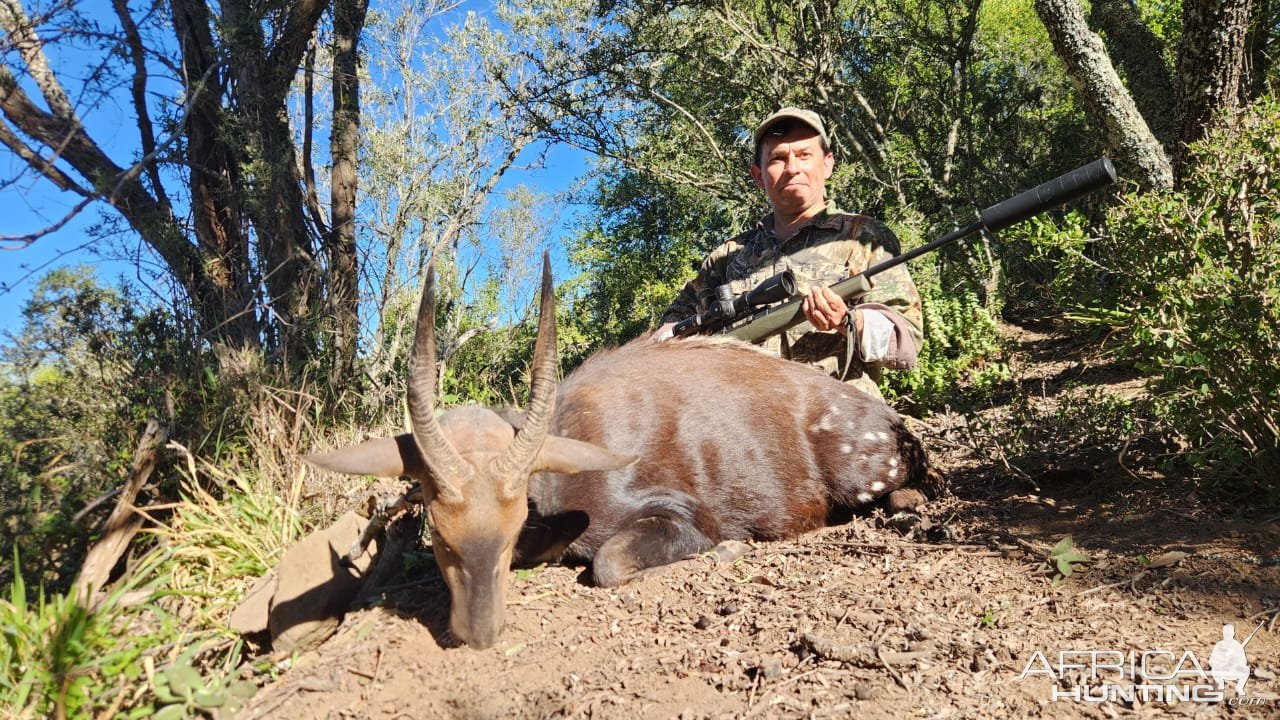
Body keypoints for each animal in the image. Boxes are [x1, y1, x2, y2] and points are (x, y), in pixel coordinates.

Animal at [309, 252, 931, 645]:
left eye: (511, 530)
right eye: (438, 534)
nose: (478, 633)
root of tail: (892, 423)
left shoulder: (680, 515)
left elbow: (607, 563)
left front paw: (729, 550)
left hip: (860, 473)